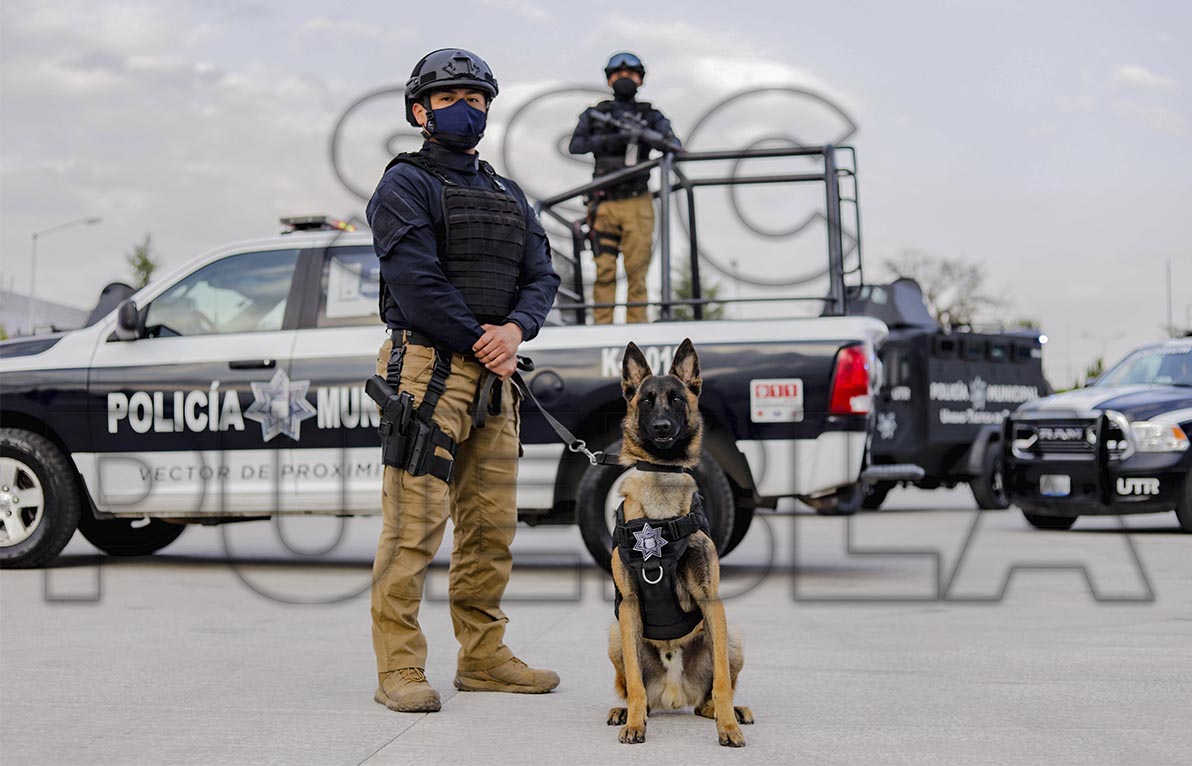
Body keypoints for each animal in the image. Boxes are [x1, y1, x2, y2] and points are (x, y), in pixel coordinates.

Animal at [610, 338, 748, 748]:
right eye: (646, 400)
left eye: (676, 399)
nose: (661, 427)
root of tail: (674, 695)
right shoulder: (629, 606)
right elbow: (635, 681)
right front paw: (634, 723)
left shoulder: (711, 601)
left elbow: (722, 681)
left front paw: (727, 727)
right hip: (615, 634)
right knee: (633, 687)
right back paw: (627, 711)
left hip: (732, 636)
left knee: (712, 693)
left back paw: (728, 711)